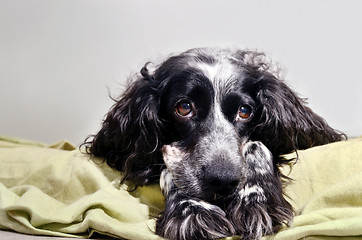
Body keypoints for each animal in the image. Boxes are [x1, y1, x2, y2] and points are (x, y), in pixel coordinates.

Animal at [85, 47, 346, 239]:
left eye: (244, 111)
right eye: (184, 107)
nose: (223, 181)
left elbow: (257, 147)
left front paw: (256, 201)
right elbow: (171, 168)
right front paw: (191, 212)